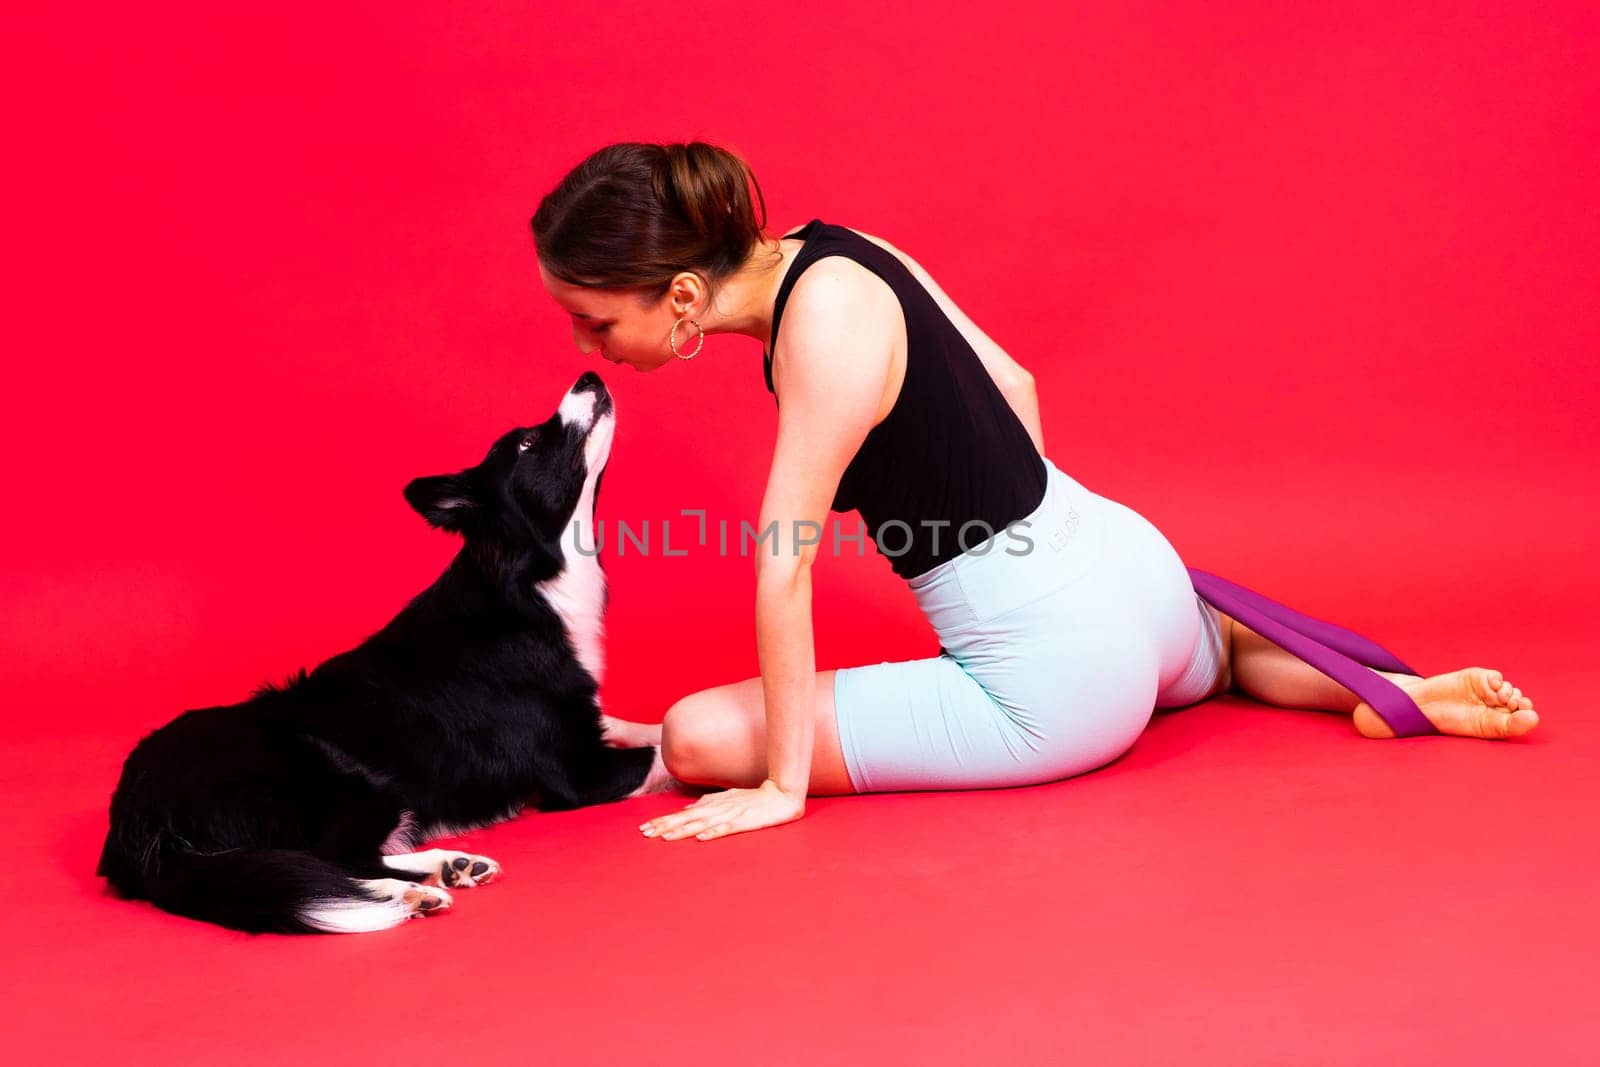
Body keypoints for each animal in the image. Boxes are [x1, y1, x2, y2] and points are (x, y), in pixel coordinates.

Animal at [95, 369, 668, 934]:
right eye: (528, 443)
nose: (589, 375)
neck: (532, 586)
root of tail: (139, 822)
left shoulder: (588, 726)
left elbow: (649, 725)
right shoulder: (577, 773)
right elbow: (661, 755)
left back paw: (449, 868)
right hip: (344, 778)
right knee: (332, 862)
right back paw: (418, 888)